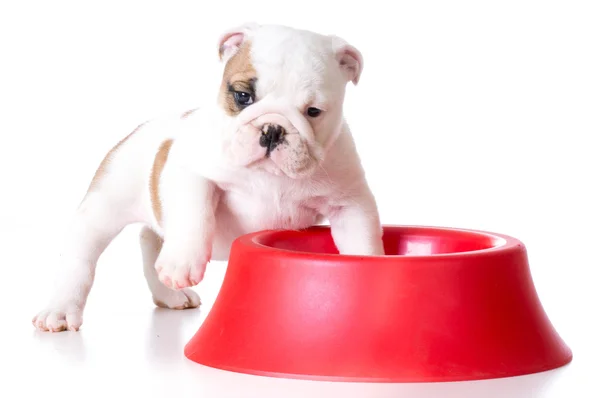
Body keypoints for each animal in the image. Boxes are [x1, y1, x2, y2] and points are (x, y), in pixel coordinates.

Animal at [31, 22, 384, 332]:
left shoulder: (349, 203)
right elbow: (195, 213)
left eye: (313, 112)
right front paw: (182, 262)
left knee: (150, 239)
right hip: (103, 207)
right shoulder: (190, 172)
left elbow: (363, 242)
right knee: (81, 256)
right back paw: (60, 310)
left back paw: (169, 294)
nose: (272, 128)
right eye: (242, 96)